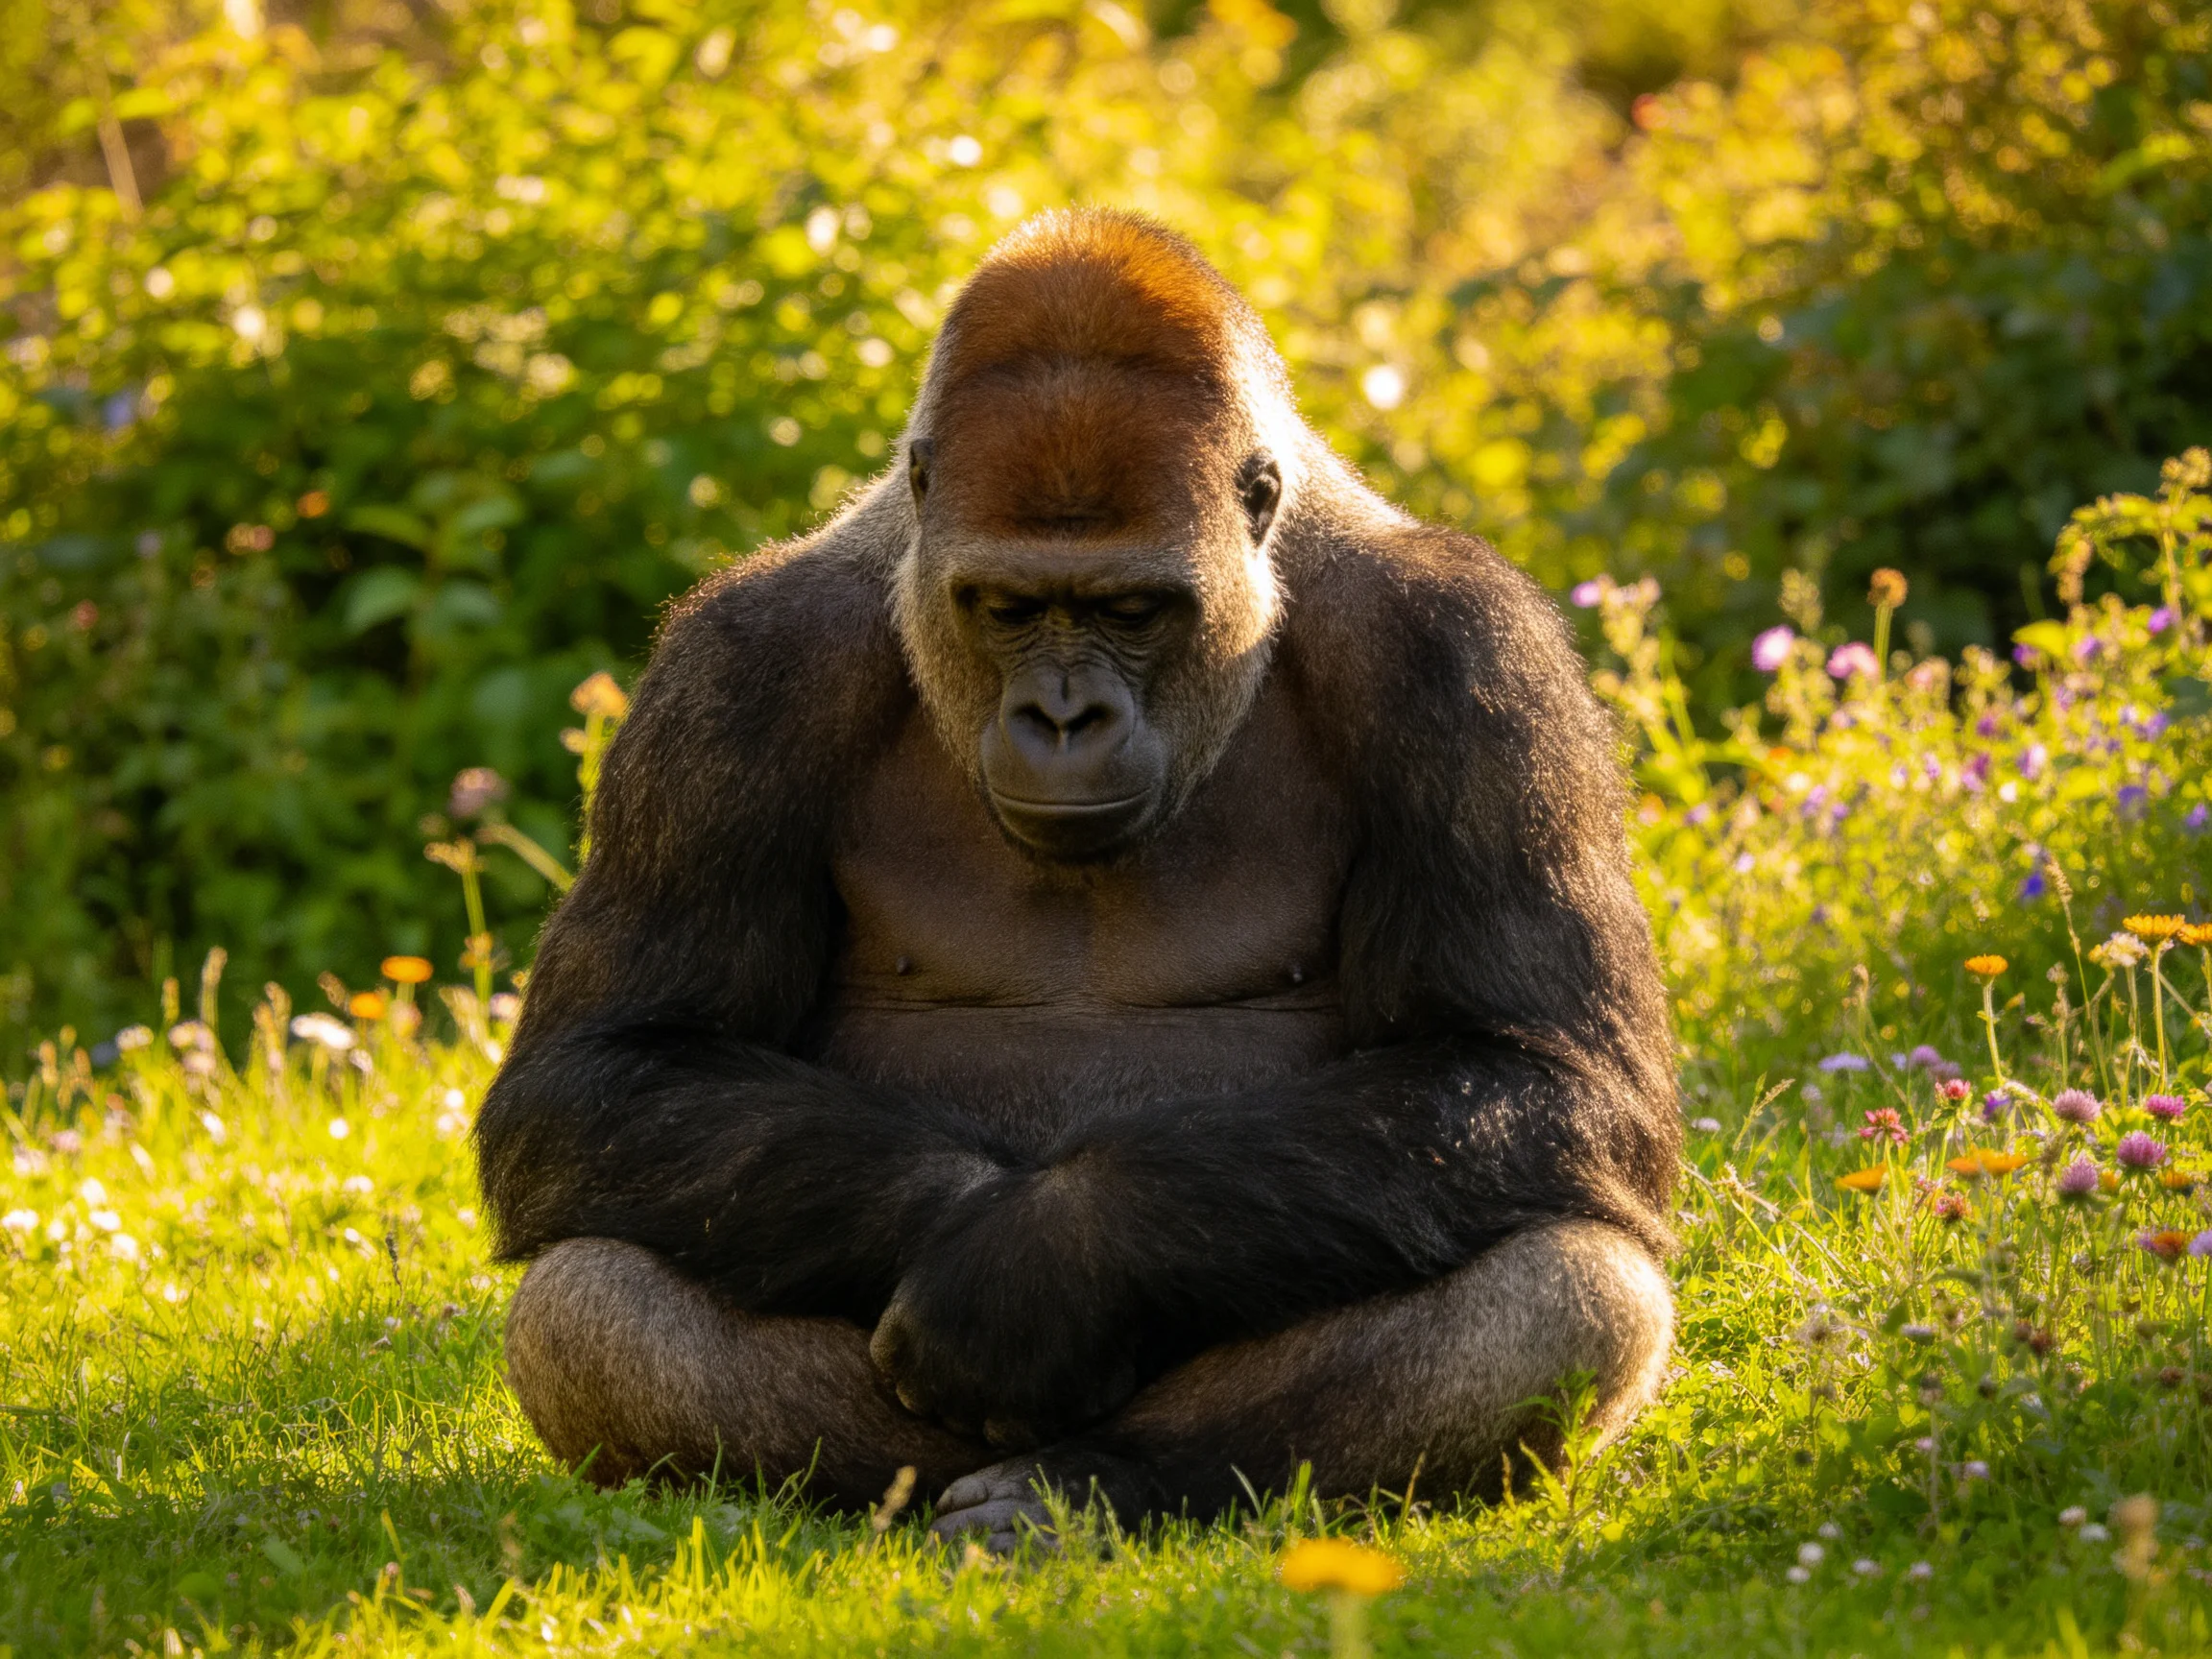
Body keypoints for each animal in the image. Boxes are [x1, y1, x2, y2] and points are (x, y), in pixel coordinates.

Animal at [477, 208, 1680, 1550]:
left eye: (1131, 609)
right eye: (1007, 608)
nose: (1063, 718)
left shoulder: (1466, 656)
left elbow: (1545, 1069)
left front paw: (1045, 1264)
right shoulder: (729, 676)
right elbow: (603, 1072)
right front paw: (998, 1257)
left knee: (1570, 1284)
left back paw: (1101, 1484)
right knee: (590, 1299)